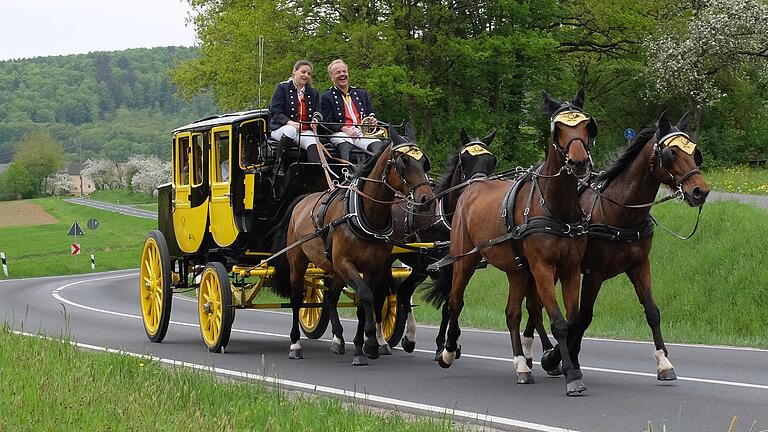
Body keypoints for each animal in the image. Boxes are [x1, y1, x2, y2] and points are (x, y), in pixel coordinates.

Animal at [270, 131, 432, 364]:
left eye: (424, 162)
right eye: (404, 162)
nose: (426, 199)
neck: (364, 214)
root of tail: (301, 200)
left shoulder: (373, 267)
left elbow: (365, 303)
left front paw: (362, 346)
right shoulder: (346, 263)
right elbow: (366, 295)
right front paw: (371, 343)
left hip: (336, 270)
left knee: (330, 297)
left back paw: (338, 340)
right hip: (299, 262)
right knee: (296, 299)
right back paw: (295, 344)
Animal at [436, 89, 592, 396]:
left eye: (585, 124)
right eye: (559, 128)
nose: (578, 161)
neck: (555, 206)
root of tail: (473, 186)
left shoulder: (570, 269)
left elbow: (571, 320)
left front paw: (562, 362)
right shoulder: (542, 268)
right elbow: (559, 322)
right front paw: (570, 374)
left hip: (517, 270)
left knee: (511, 314)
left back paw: (521, 365)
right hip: (465, 260)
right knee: (455, 302)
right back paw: (447, 351)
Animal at [536, 111, 712, 382]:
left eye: (694, 152)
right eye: (671, 153)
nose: (700, 191)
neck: (620, 211)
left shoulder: (639, 266)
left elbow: (652, 311)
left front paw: (664, 363)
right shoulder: (593, 273)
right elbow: (583, 318)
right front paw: (567, 358)